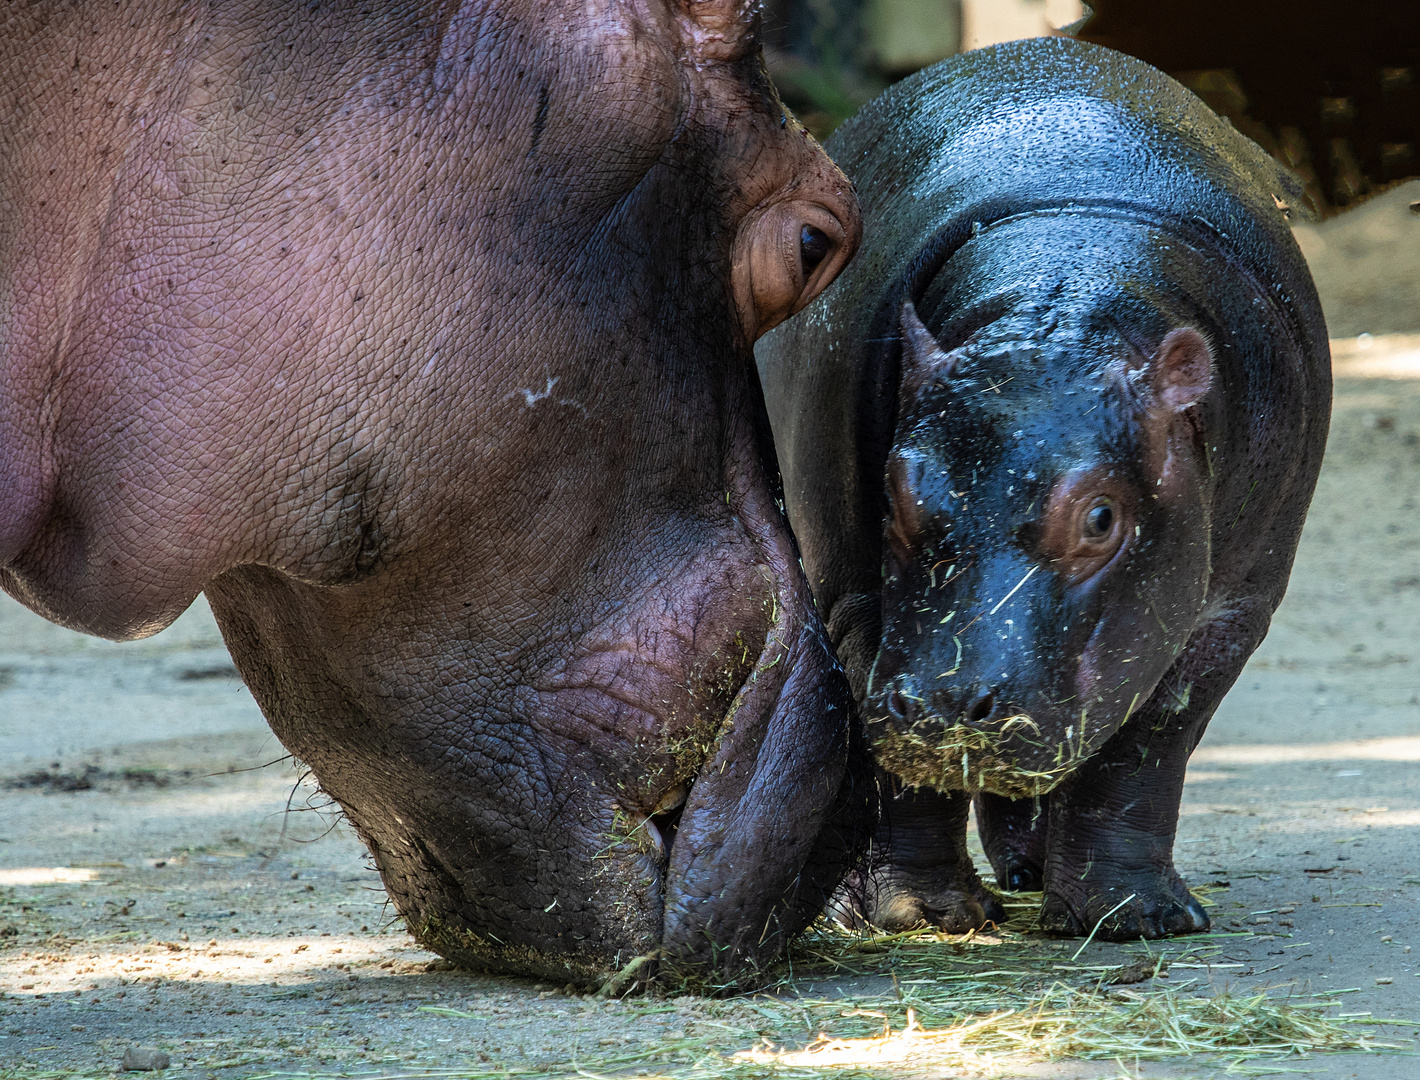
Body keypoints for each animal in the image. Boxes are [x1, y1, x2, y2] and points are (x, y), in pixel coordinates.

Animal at [766, 37, 1329, 942]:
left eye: (1100, 517)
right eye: (894, 495)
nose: (946, 703)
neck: (1067, 307)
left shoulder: (1231, 613)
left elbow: (1145, 750)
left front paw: (1138, 919)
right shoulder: (855, 595)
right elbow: (902, 772)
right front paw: (921, 913)